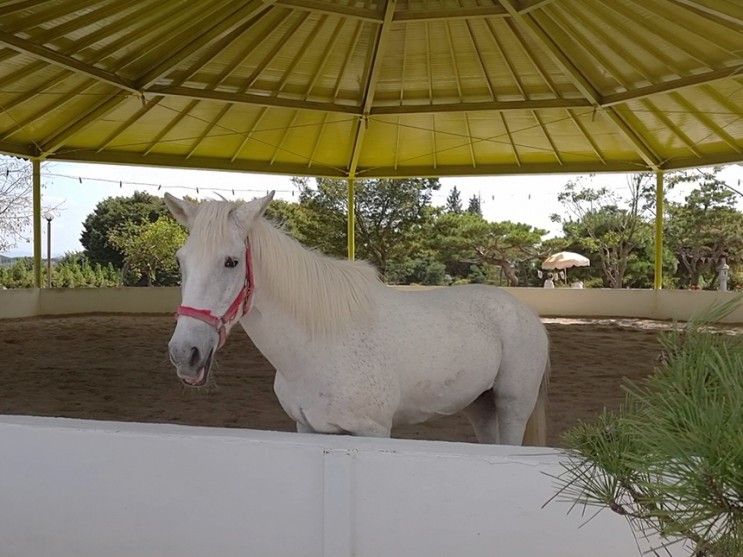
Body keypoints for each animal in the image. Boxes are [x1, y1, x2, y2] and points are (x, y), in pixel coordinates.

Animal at [169, 191, 552, 444]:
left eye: (231, 261)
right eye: (180, 260)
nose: (185, 353)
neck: (317, 346)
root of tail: (525, 314)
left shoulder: (373, 431)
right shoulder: (309, 428)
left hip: (513, 407)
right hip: (480, 408)